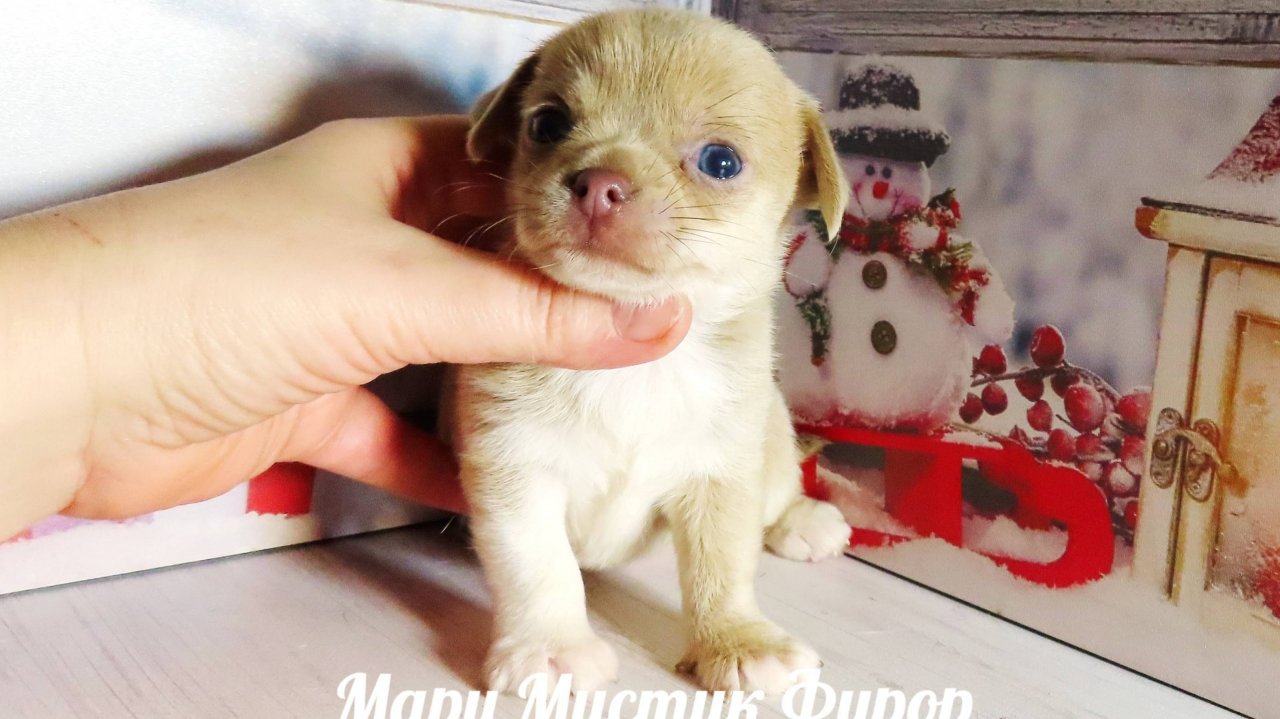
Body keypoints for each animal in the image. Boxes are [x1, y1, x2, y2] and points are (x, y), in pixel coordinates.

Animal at [448, 8, 852, 694]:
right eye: (547, 124)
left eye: (721, 161)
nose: (600, 184)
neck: (632, 361)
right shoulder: (515, 471)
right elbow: (539, 566)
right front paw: (550, 647)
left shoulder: (719, 475)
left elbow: (723, 568)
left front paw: (737, 640)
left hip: (769, 445)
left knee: (779, 491)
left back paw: (804, 520)